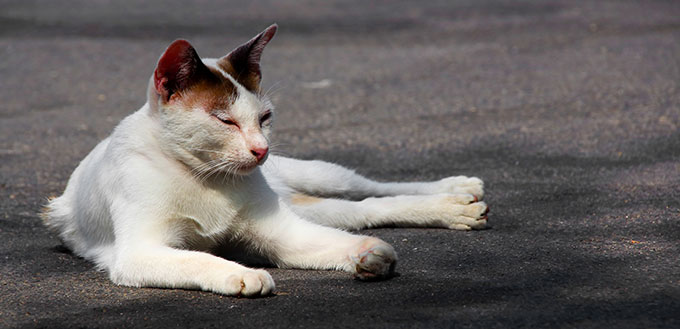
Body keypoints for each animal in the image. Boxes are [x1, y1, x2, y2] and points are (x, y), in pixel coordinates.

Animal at [42, 24, 488, 296]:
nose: (261, 150)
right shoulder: (140, 251)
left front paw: (366, 254)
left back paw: (455, 192)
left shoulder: (281, 230)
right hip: (311, 205)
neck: (205, 177)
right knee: (361, 210)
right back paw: (453, 207)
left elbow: (335, 239)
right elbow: (198, 257)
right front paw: (240, 273)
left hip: (318, 177)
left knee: (369, 189)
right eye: (224, 120)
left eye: (265, 118)